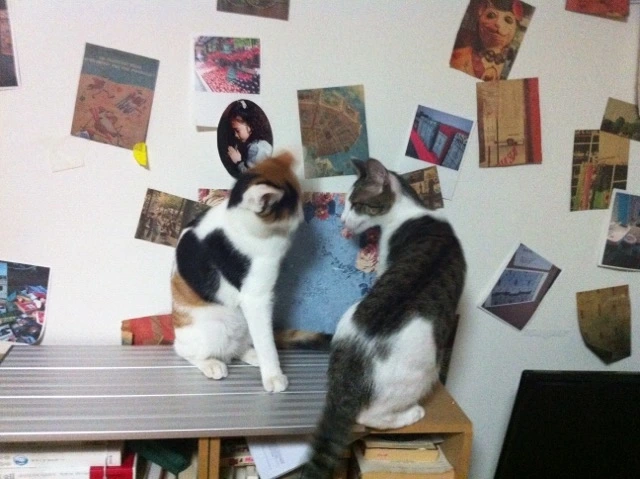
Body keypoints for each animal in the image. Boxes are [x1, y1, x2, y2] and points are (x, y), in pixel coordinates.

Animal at [171, 152, 303, 393]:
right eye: (291, 210)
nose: (303, 218)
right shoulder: (256, 298)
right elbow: (266, 342)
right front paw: (273, 375)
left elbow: (264, 339)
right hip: (213, 329)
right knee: (185, 352)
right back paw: (212, 364)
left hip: (242, 326)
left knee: (237, 349)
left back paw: (249, 354)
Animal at [301, 158, 466, 478]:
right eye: (346, 204)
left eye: (356, 204)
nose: (342, 221)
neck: (410, 212)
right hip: (424, 371)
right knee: (370, 416)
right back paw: (412, 413)